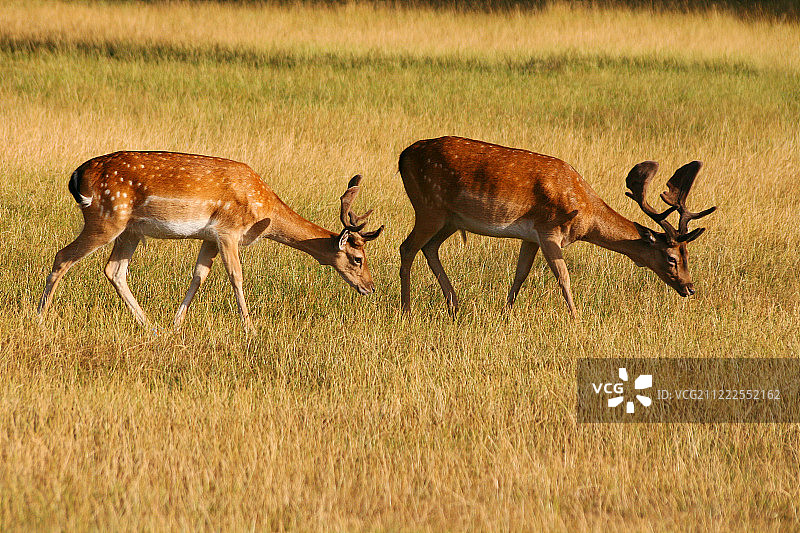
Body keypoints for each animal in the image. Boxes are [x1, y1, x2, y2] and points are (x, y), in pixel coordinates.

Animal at [37, 151, 383, 331]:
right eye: (358, 259)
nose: (370, 287)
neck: (264, 209)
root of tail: (76, 176)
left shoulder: (210, 236)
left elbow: (199, 276)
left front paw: (176, 324)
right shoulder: (228, 231)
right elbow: (236, 277)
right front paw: (250, 328)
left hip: (130, 230)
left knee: (114, 270)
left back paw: (149, 325)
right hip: (106, 218)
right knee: (62, 256)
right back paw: (39, 317)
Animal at [398, 136, 715, 316]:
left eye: (688, 255)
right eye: (671, 258)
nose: (690, 288)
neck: (584, 213)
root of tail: (401, 157)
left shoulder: (530, 236)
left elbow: (521, 274)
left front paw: (505, 314)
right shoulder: (549, 230)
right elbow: (564, 278)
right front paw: (576, 319)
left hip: (449, 219)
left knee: (429, 248)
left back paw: (454, 305)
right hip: (428, 206)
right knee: (407, 247)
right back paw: (407, 309)